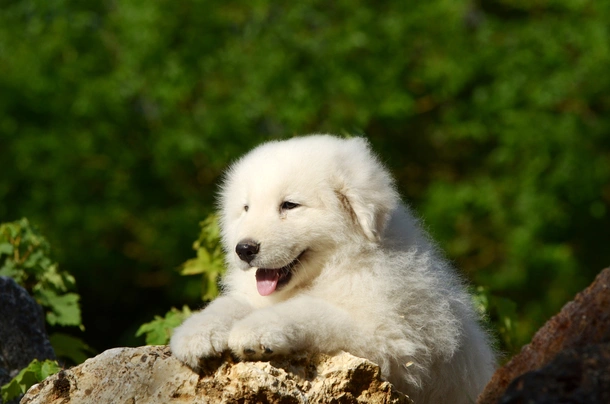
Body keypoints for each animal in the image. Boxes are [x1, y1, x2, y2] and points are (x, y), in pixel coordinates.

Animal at [170, 136, 494, 404]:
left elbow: (311, 311)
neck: (336, 267)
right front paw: (195, 332)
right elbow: (228, 304)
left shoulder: (392, 340)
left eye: (289, 205)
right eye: (246, 208)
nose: (244, 249)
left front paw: (257, 330)